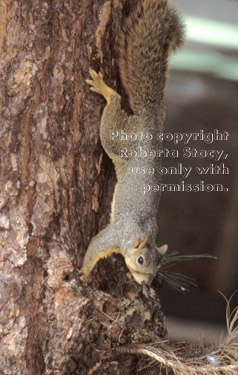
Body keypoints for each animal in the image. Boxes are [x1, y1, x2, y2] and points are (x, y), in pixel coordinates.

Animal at [80, 0, 184, 284]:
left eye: (158, 266)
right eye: (140, 260)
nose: (146, 283)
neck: (138, 233)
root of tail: (148, 127)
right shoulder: (115, 234)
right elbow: (95, 247)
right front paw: (83, 273)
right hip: (117, 138)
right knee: (115, 103)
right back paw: (105, 89)